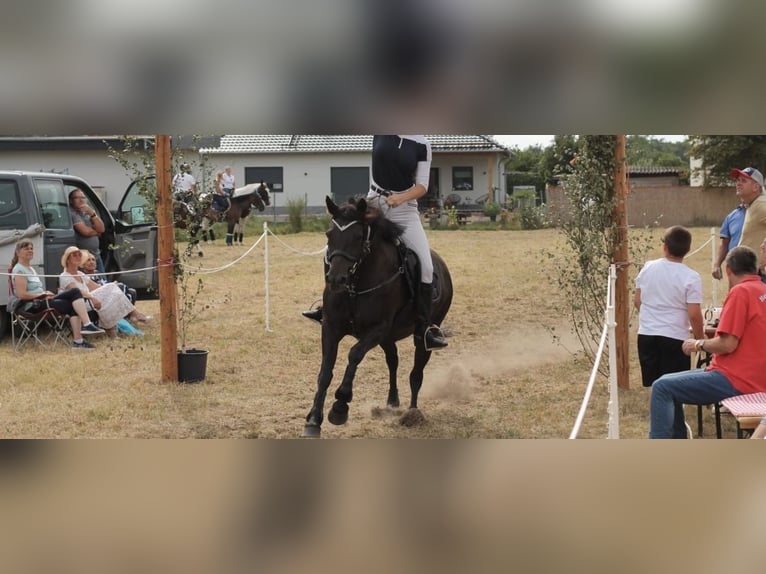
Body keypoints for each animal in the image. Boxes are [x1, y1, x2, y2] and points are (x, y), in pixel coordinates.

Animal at [304, 196, 452, 438]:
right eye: (328, 234)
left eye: (357, 237)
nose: (336, 280)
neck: (355, 286)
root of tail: (442, 266)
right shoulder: (331, 328)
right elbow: (325, 372)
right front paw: (314, 420)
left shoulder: (376, 330)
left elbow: (354, 355)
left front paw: (340, 407)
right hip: (388, 338)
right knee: (393, 361)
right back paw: (392, 401)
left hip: (422, 334)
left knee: (416, 373)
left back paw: (412, 413)